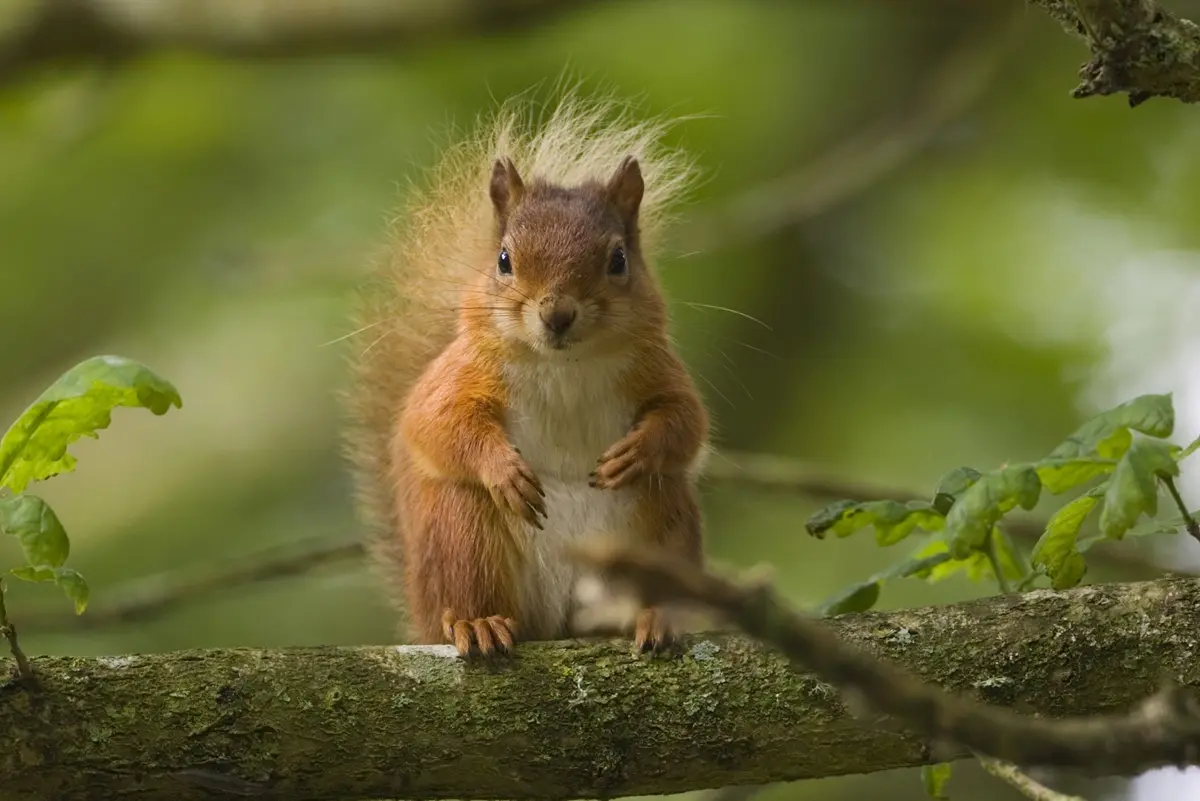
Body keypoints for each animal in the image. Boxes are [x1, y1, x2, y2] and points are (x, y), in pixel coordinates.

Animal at [343, 94, 710, 658]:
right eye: (504, 260)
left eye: (618, 260)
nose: (557, 314)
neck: (563, 364)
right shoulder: (458, 374)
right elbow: (435, 423)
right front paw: (503, 470)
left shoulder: (658, 369)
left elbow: (686, 421)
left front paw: (639, 451)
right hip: (463, 533)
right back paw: (477, 623)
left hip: (660, 519)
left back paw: (656, 616)